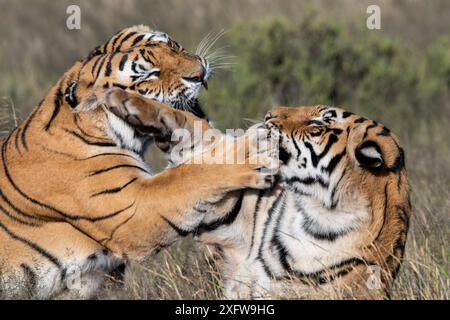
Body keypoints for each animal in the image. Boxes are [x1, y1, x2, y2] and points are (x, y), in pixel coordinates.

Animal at [0, 26, 278, 298]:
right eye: (150, 75)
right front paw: (252, 149)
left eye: (173, 46)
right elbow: (190, 175)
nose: (199, 74)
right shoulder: (136, 206)